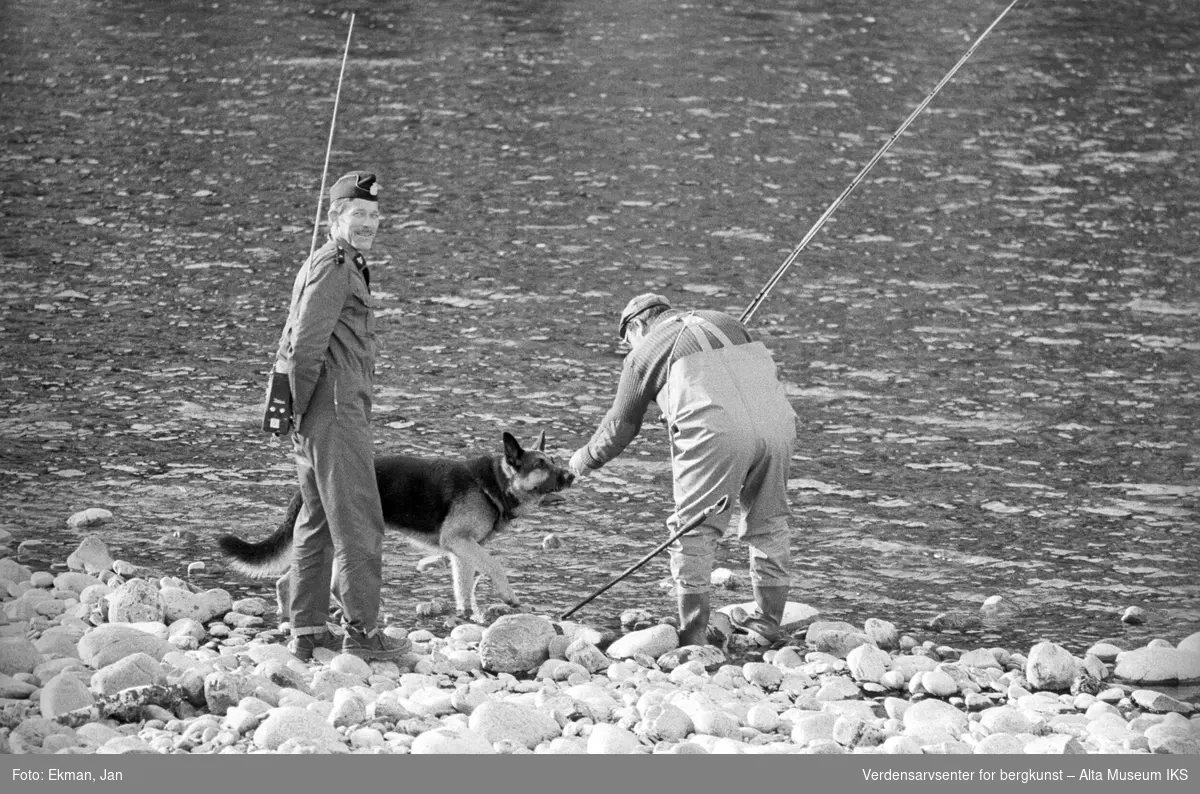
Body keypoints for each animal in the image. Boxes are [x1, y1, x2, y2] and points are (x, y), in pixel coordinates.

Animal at [220, 431, 576, 623]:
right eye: (540, 465)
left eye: (553, 460)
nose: (572, 475)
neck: (496, 482)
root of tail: (308, 485)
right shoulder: (459, 541)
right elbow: (495, 565)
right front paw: (508, 596)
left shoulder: (460, 550)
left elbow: (463, 586)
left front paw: (465, 615)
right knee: (298, 580)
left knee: (298, 582)